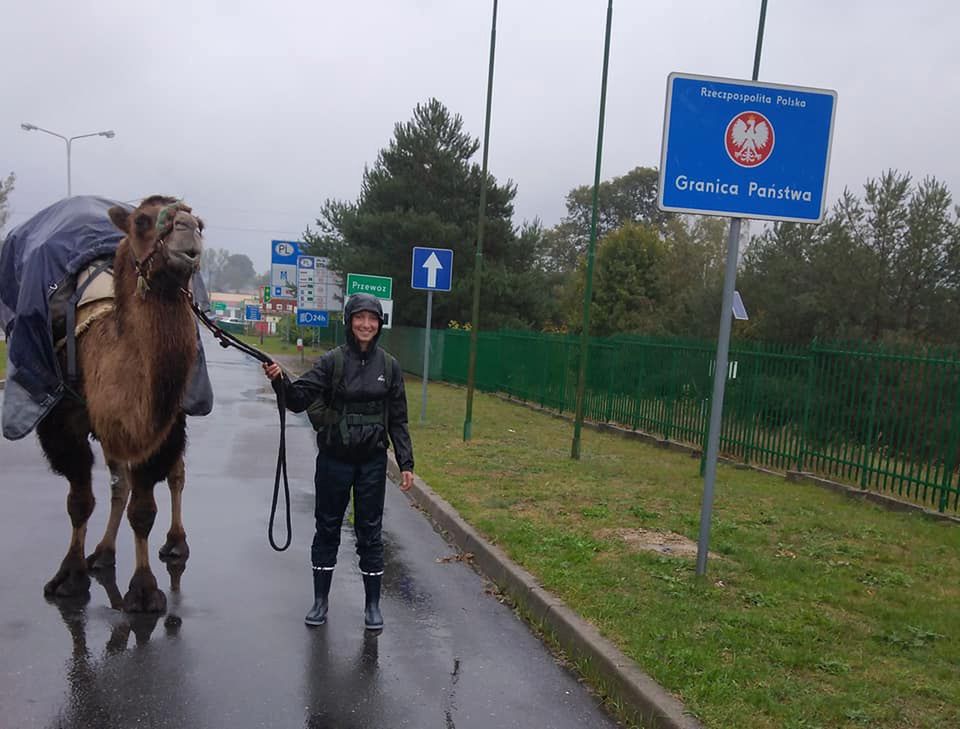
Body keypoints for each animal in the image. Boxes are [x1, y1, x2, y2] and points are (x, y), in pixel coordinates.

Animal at [36, 196, 204, 612]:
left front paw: (143, 590)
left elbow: (143, 509)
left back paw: (175, 543)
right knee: (118, 482)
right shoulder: (63, 423)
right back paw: (102, 553)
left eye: (202, 223)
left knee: (172, 476)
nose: (189, 229)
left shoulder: (164, 425)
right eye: (142, 221)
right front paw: (69, 576)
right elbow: (80, 500)